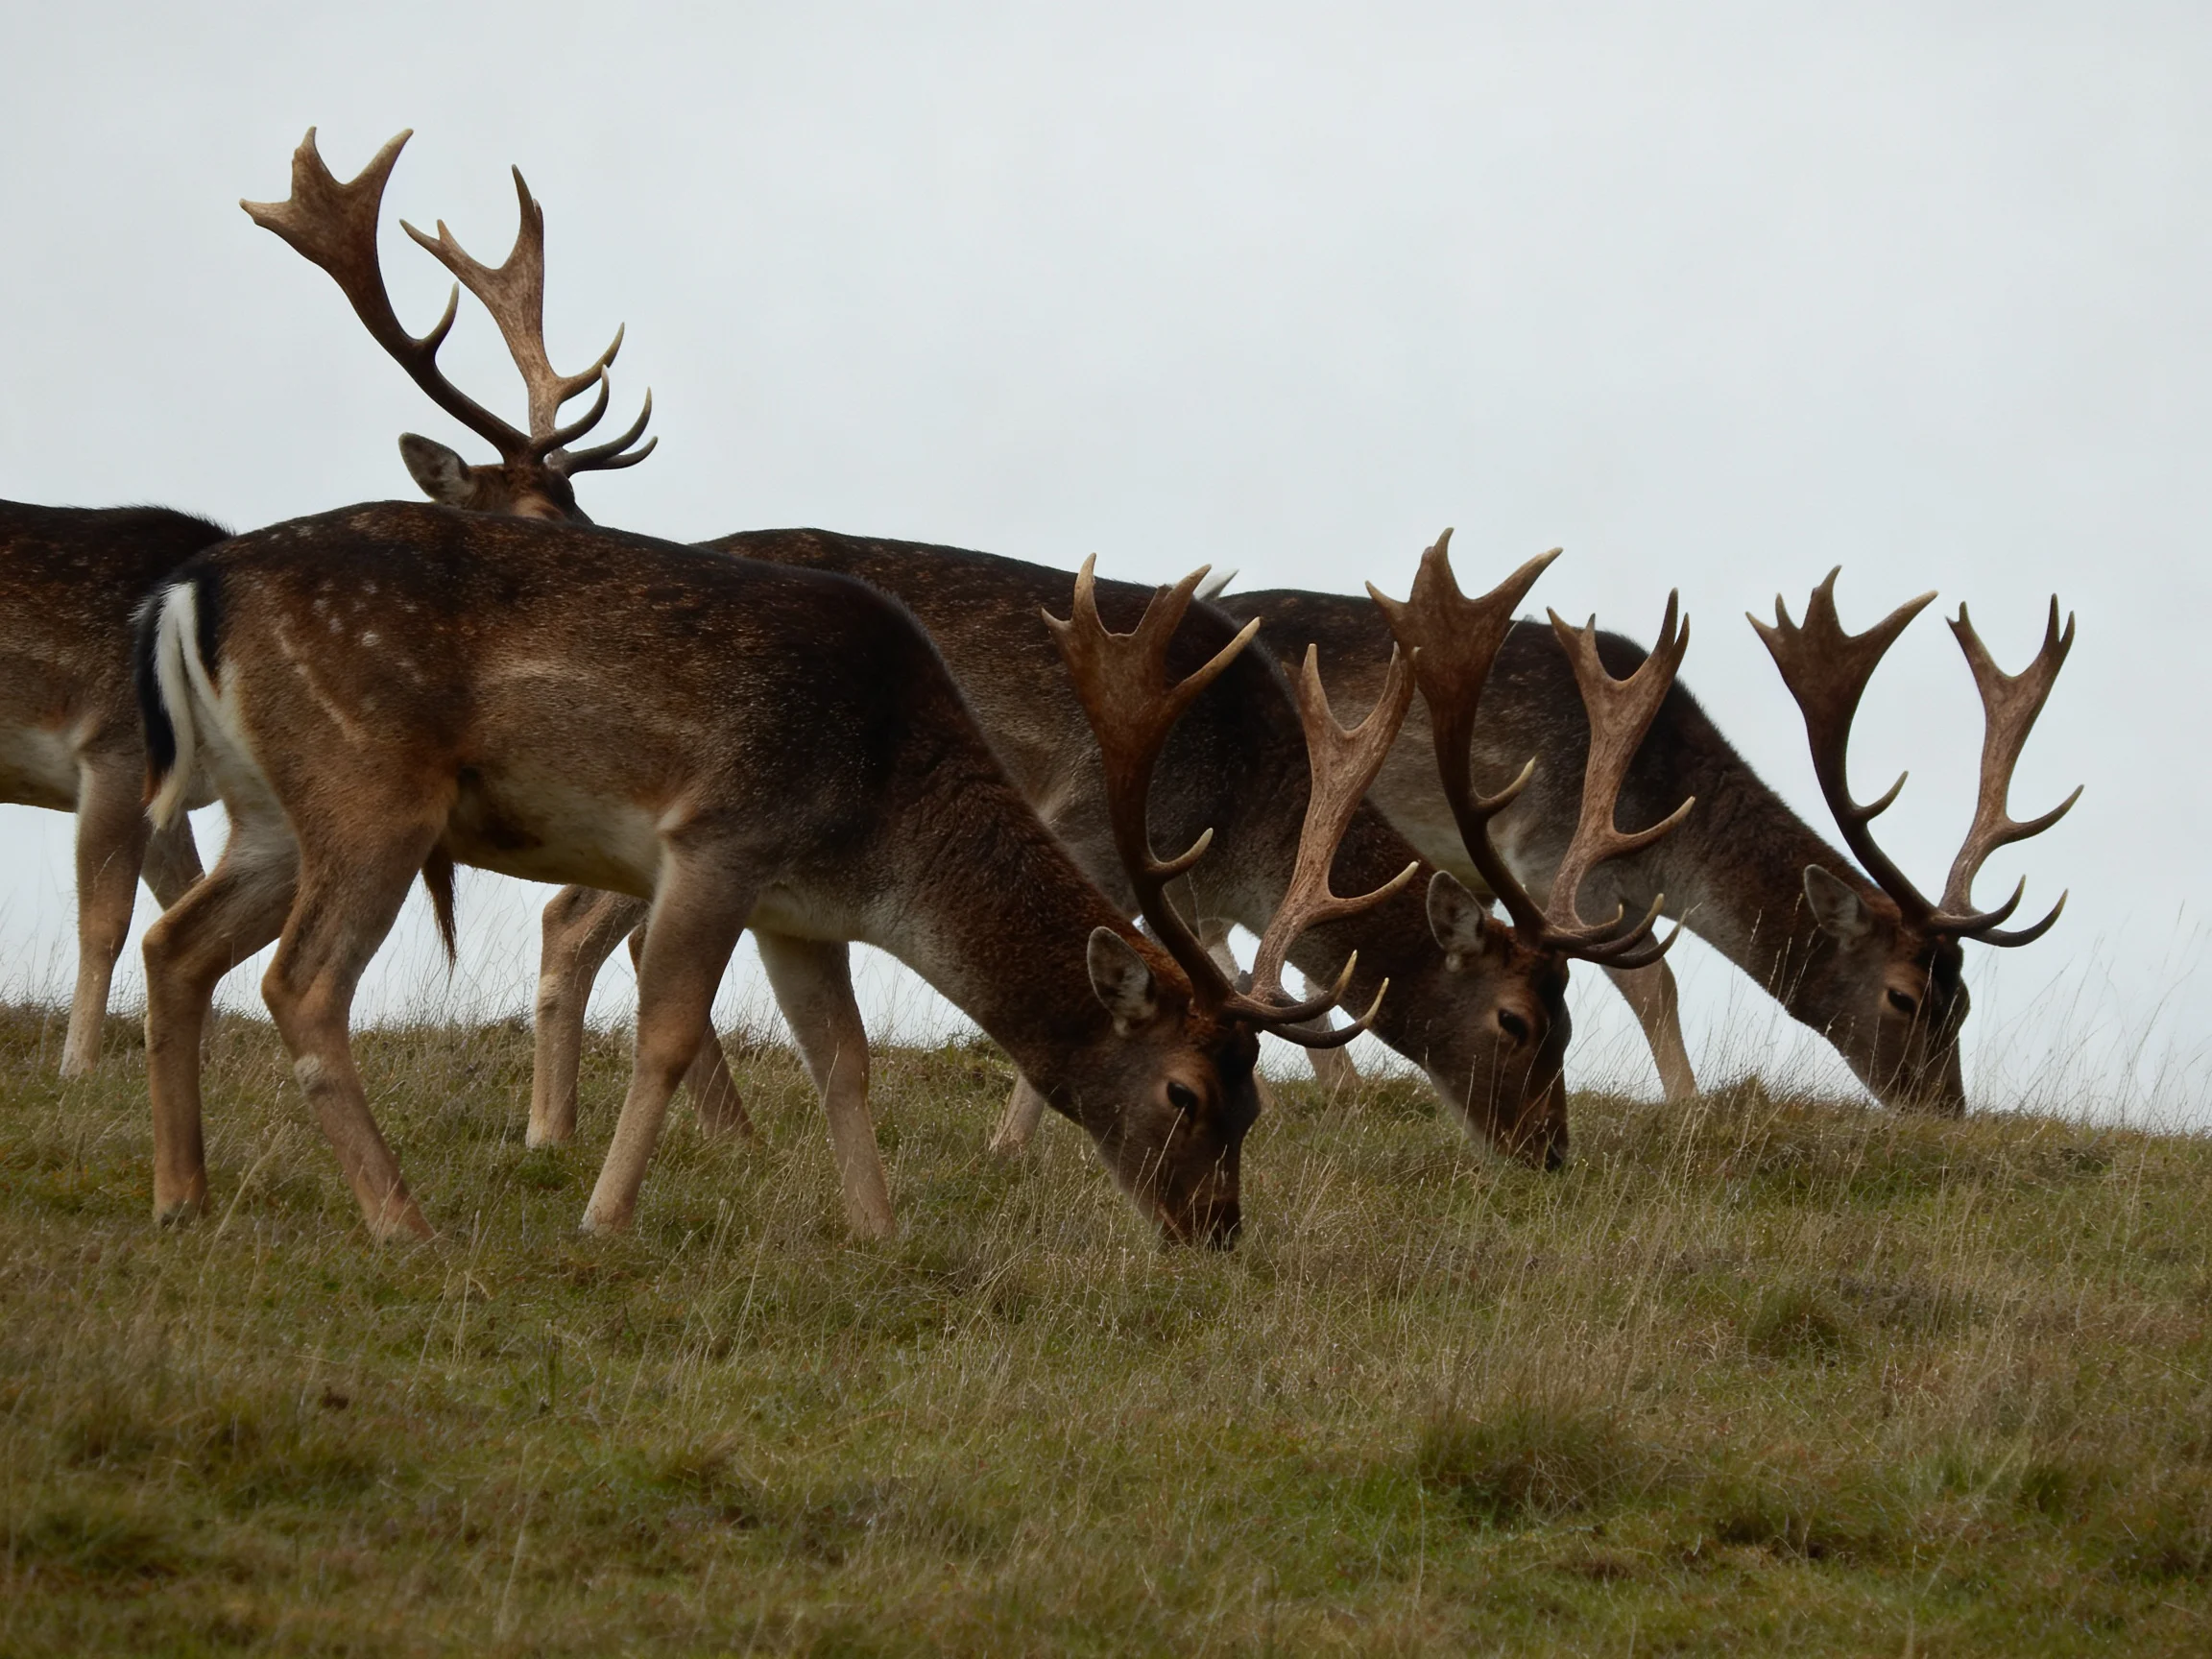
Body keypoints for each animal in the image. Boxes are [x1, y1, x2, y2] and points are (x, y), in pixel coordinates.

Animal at [131, 506, 1408, 1243]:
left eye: (1255, 1102)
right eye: (1186, 1094)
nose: (1218, 1230)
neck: (881, 815)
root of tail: (187, 591)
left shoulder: (803, 912)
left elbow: (841, 1056)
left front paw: (878, 1231)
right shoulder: (719, 839)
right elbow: (666, 1028)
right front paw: (604, 1219)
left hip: (270, 813)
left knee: (177, 942)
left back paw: (182, 1193)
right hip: (370, 786)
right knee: (300, 983)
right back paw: (402, 1221)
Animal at [531, 530, 1696, 1172]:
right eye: (1516, 1022)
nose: (1549, 1154)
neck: (1247, 810)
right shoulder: (1093, 821)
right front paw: (1011, 1149)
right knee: (571, 919)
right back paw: (553, 1134)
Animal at [1210, 563, 2076, 1112]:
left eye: (1965, 1001)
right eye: (1903, 996)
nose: (1945, 1112)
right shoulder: (1553, 855)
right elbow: (1655, 982)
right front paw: (1689, 1104)